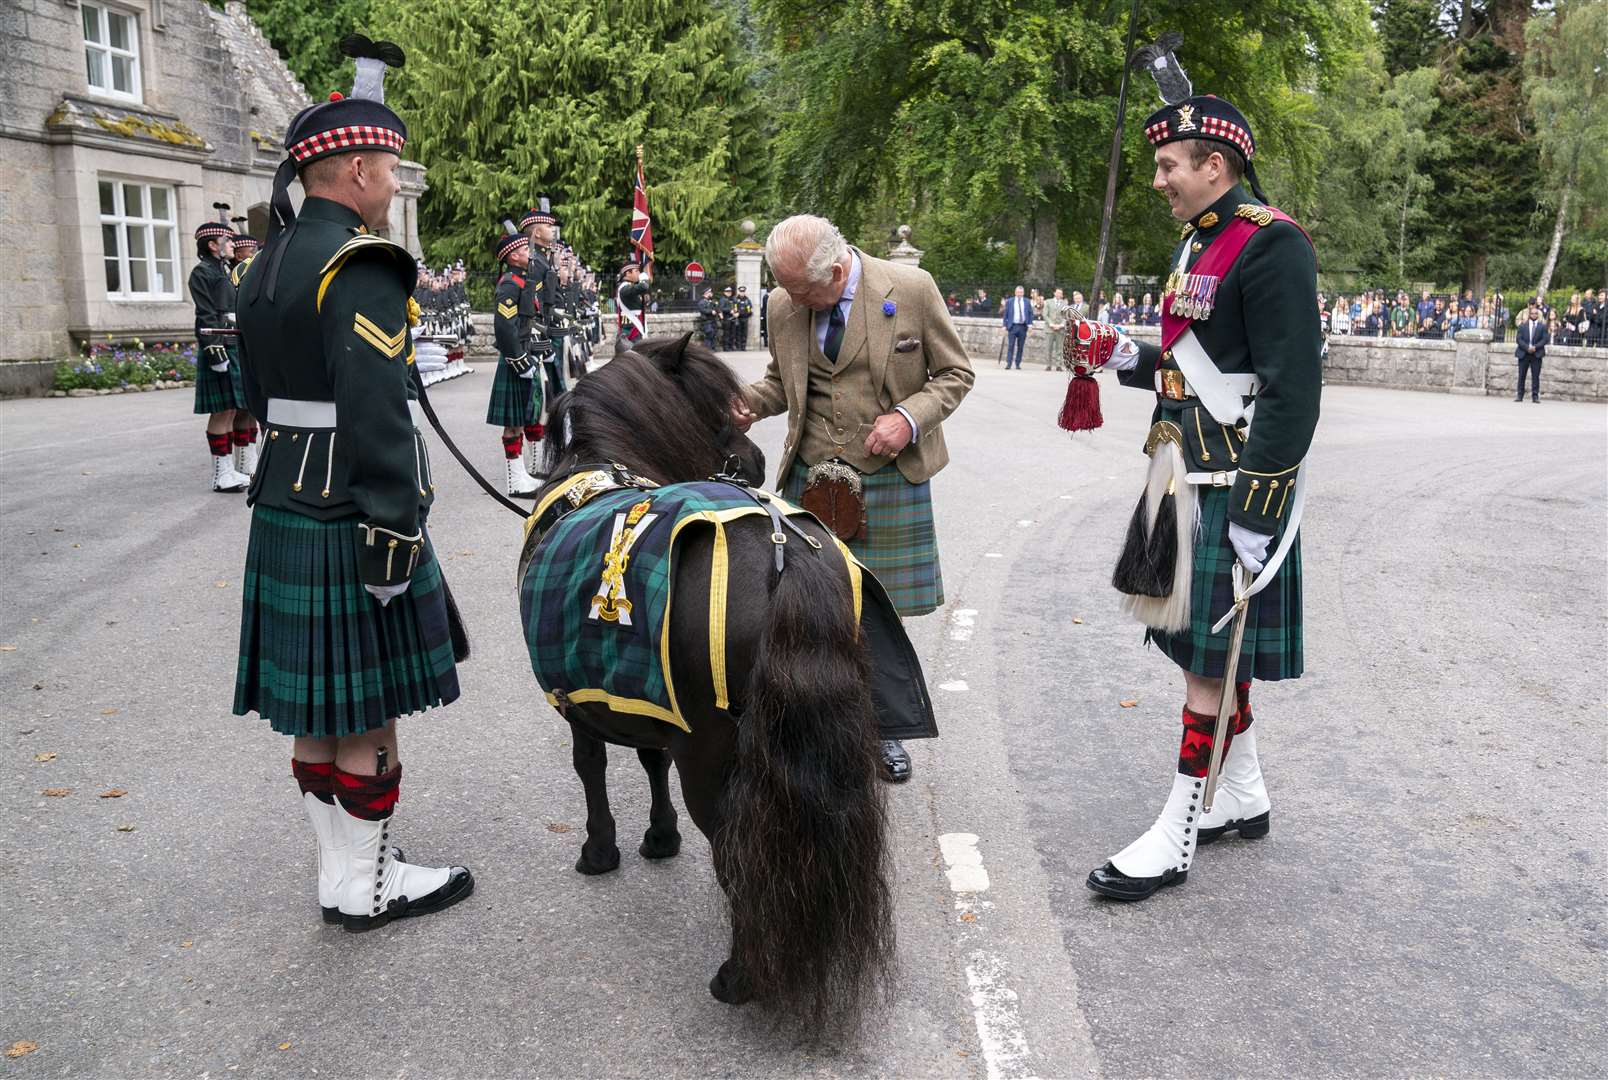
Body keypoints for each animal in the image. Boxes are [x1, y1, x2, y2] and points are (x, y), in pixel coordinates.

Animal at [514, 335, 894, 1035]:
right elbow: (648, 758)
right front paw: (659, 838)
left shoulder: (583, 705)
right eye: (715, 404)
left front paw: (599, 849)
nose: (754, 460)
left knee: (738, 855)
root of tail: (783, 552)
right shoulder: (638, 689)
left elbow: (593, 767)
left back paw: (741, 976)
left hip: (716, 757)